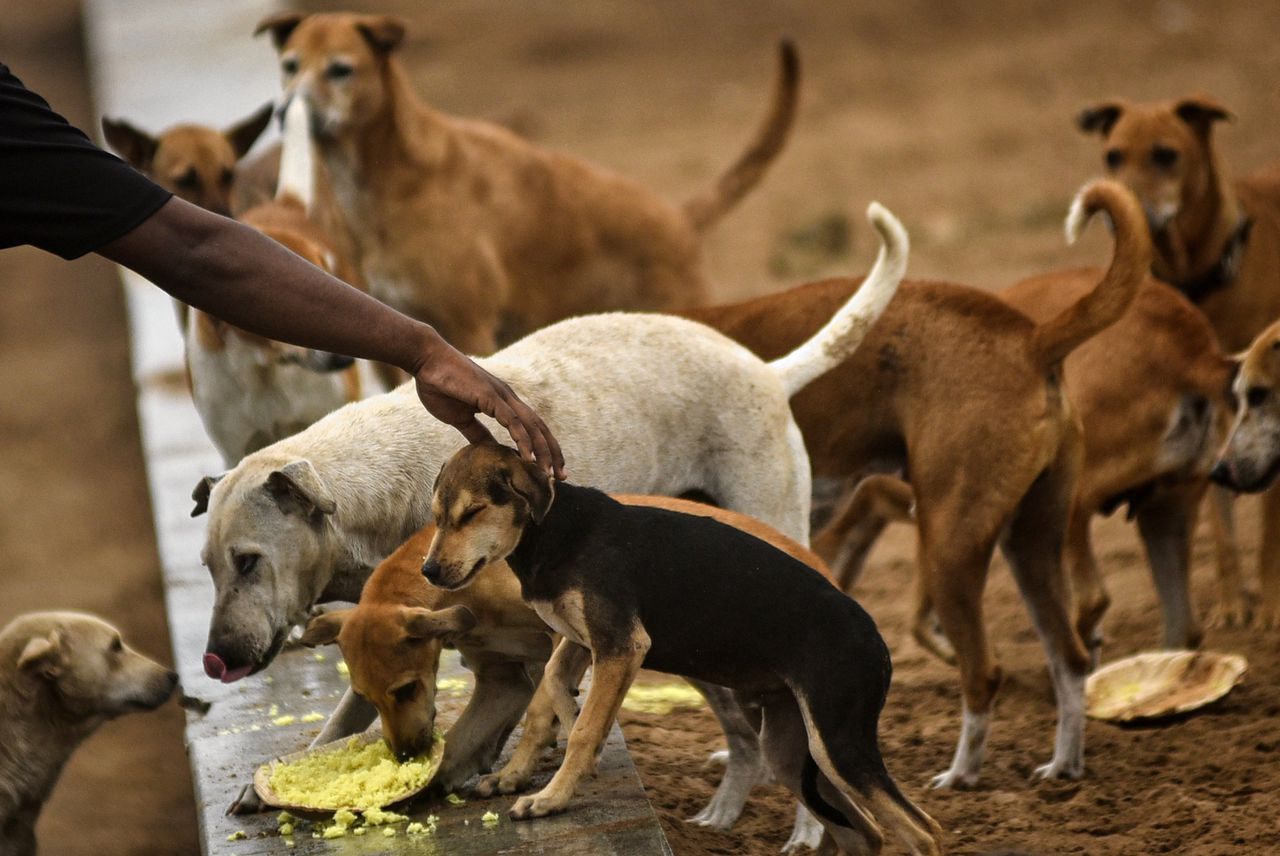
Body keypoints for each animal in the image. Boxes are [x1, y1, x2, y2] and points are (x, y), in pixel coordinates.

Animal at [252, 10, 798, 350]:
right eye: (290, 66)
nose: (284, 111)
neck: (379, 180)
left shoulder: (467, 328)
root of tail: (678, 218)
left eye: (341, 70)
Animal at [302, 493, 839, 793]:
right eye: (368, 699)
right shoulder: (502, 680)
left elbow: (550, 701)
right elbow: (469, 738)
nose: (405, 756)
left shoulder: (565, 639)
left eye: (407, 689)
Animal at [424, 440, 936, 854]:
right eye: (436, 516)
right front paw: (548, 744)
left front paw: (552, 796)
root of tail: (875, 635)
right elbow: (550, 687)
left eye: (472, 513)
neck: (554, 528)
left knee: (921, 831)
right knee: (866, 833)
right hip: (792, 750)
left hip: (838, 744)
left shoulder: (622, 644)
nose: (429, 571)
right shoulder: (584, 639)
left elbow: (586, 727)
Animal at [686, 179, 1157, 788]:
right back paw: (1063, 766)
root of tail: (1030, 337)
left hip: (948, 548)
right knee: (1069, 659)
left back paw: (961, 775)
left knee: (984, 671)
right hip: (1030, 542)